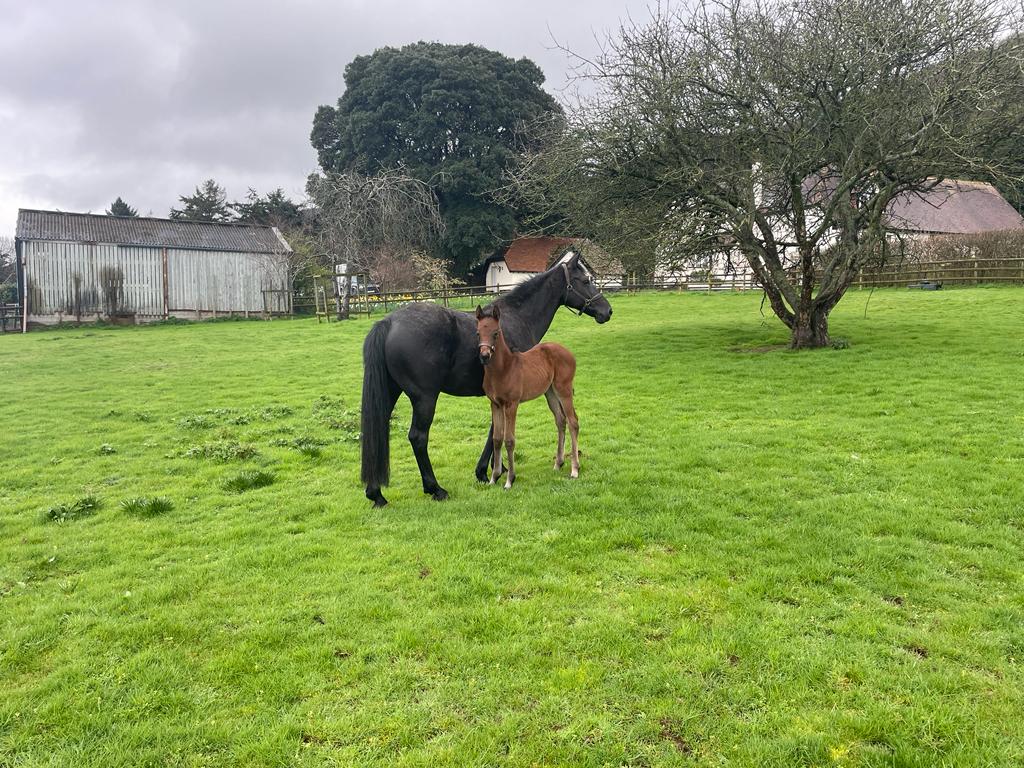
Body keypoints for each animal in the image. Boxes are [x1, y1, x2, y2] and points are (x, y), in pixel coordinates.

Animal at [476, 304, 580, 489]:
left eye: (495, 333)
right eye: (478, 333)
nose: (484, 355)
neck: (503, 369)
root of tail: (567, 351)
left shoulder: (511, 404)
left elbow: (509, 440)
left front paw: (509, 480)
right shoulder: (495, 404)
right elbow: (497, 438)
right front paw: (494, 478)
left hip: (563, 389)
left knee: (573, 421)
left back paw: (574, 469)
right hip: (550, 392)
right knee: (561, 420)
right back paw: (558, 463)